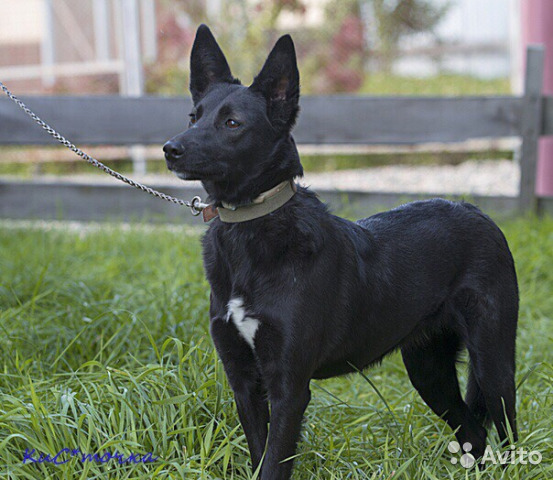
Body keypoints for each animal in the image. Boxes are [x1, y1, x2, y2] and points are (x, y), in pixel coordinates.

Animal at [163, 24, 519, 480]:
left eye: (232, 123)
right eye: (194, 116)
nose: (170, 149)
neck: (252, 225)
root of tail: (478, 212)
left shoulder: (289, 388)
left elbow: (273, 463)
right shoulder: (243, 382)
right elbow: (260, 453)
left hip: (493, 362)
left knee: (507, 429)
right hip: (428, 369)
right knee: (473, 430)